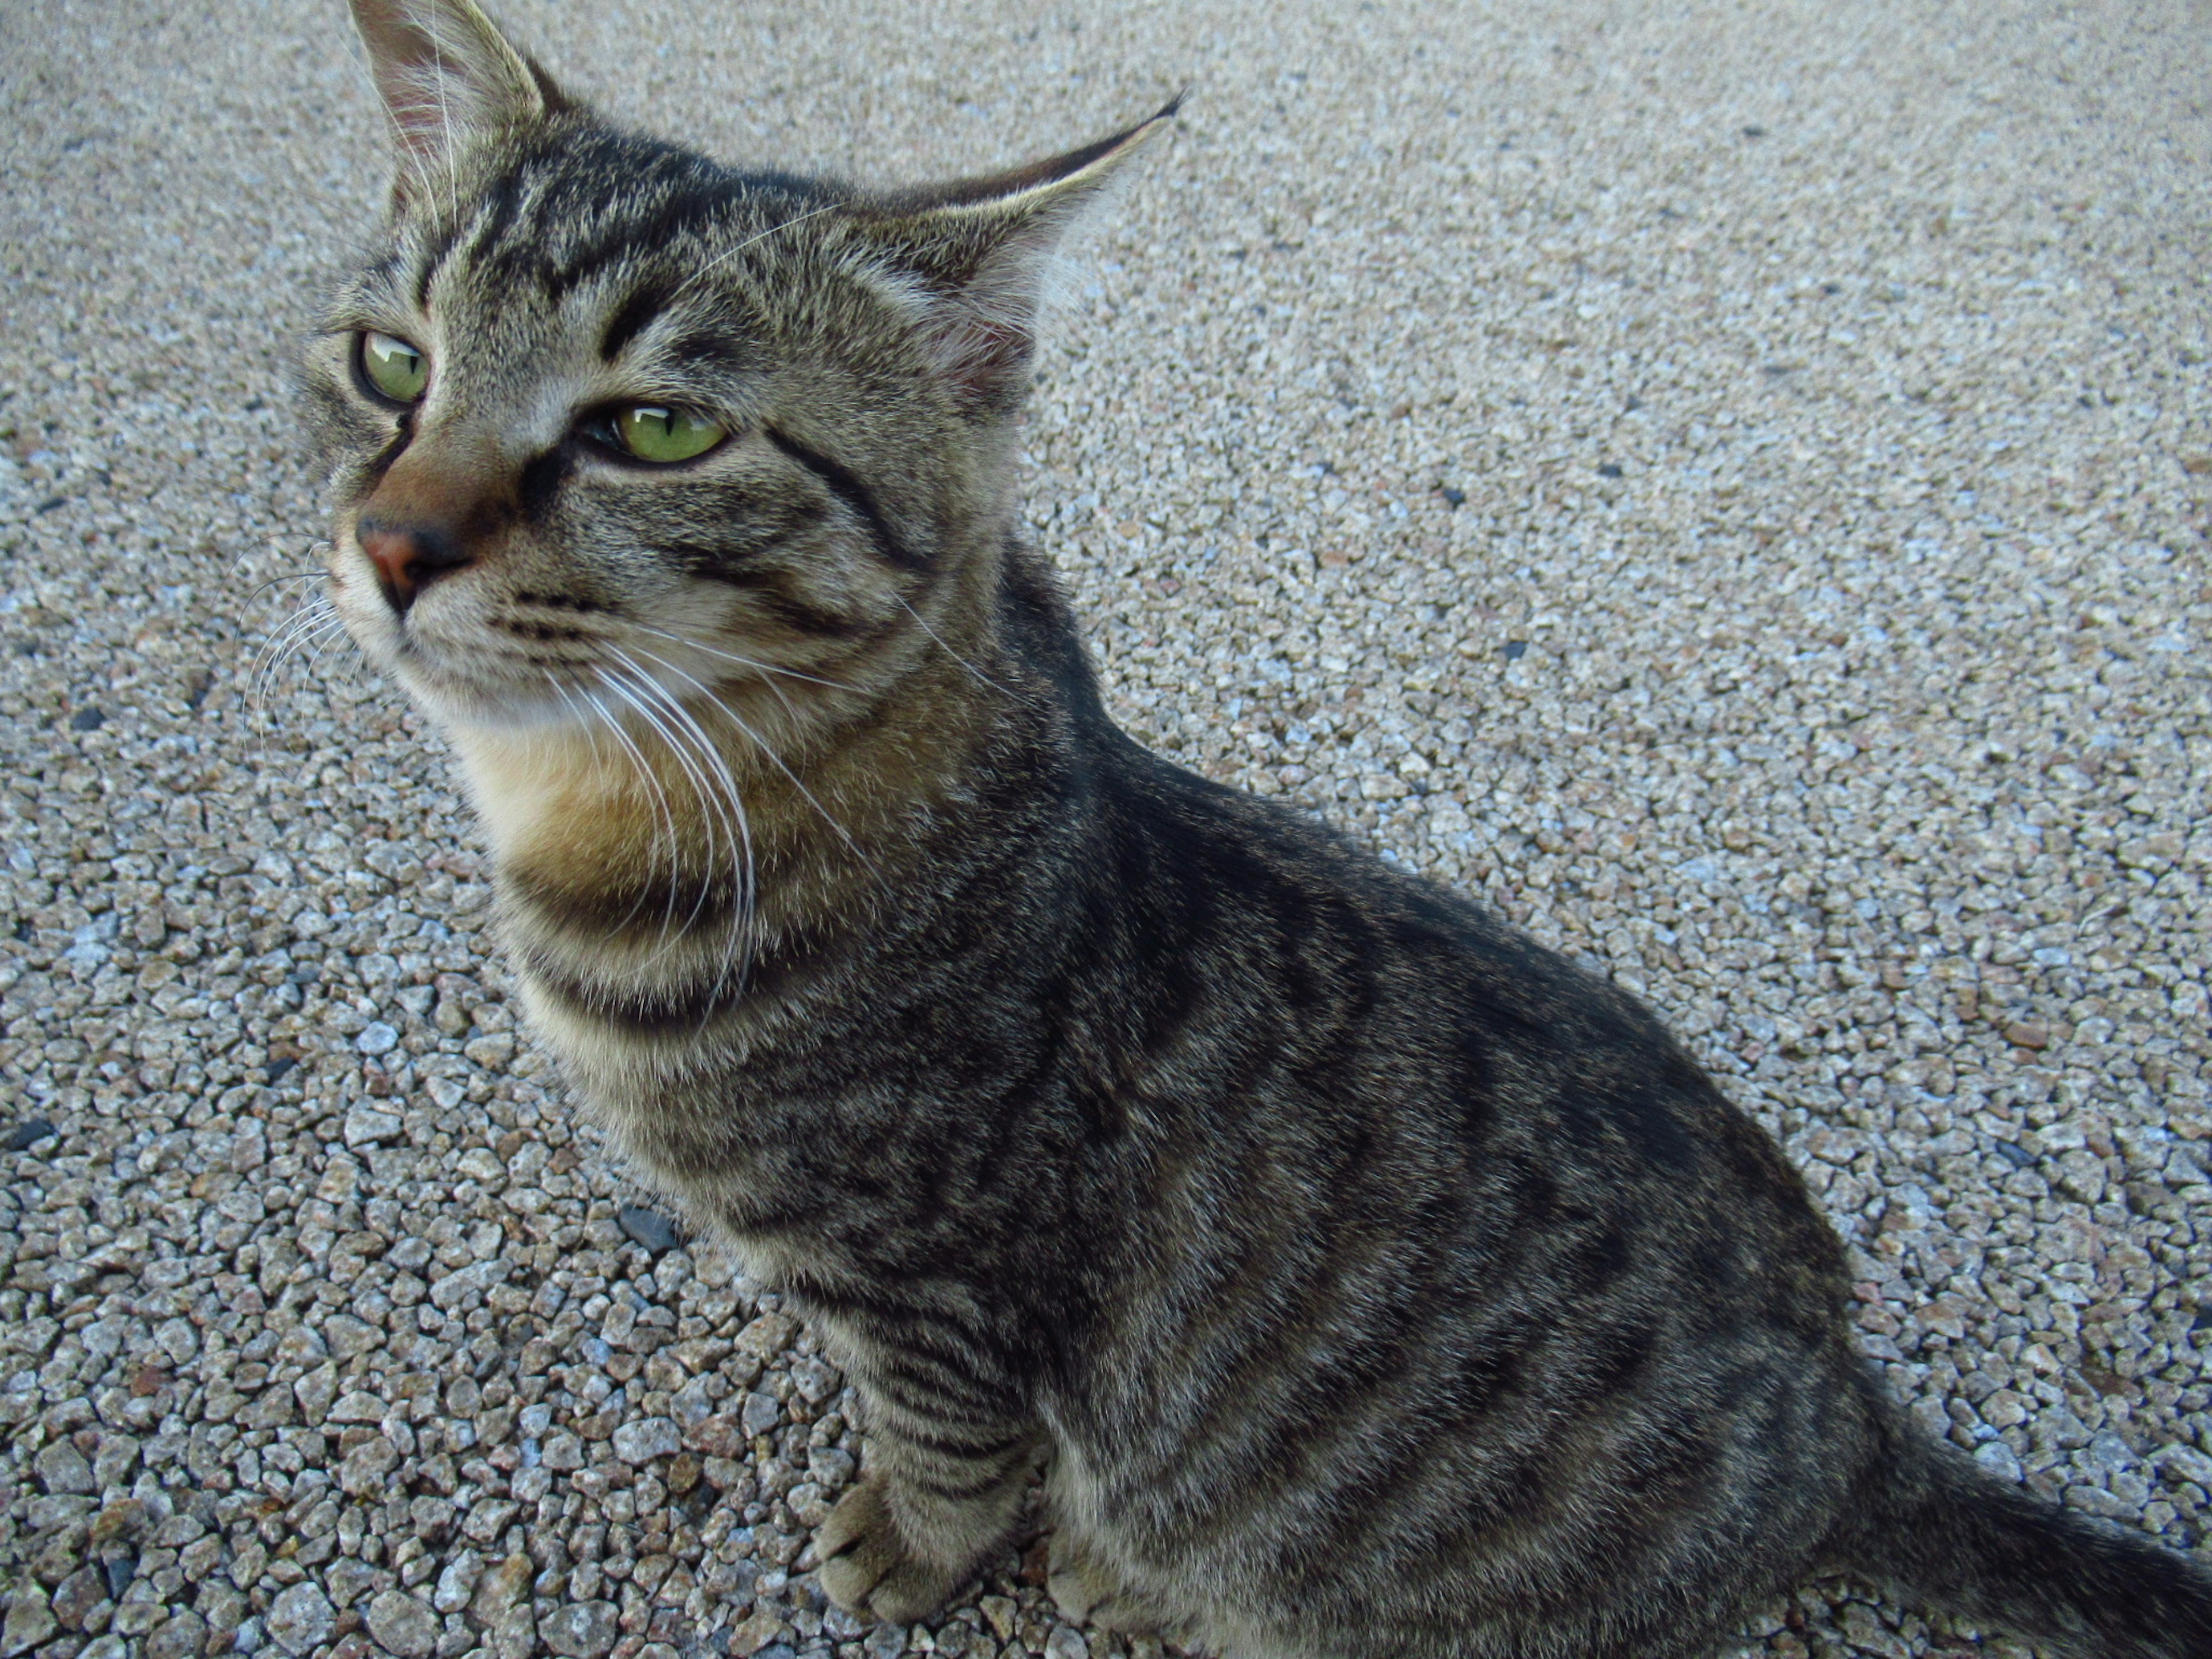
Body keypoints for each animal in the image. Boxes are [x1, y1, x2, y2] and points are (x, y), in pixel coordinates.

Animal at [303, 3, 2212, 1659]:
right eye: (392, 361)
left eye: (658, 427)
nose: (393, 542)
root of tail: (1848, 1429)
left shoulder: (932, 1293)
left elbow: (947, 1452)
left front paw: (913, 1549)